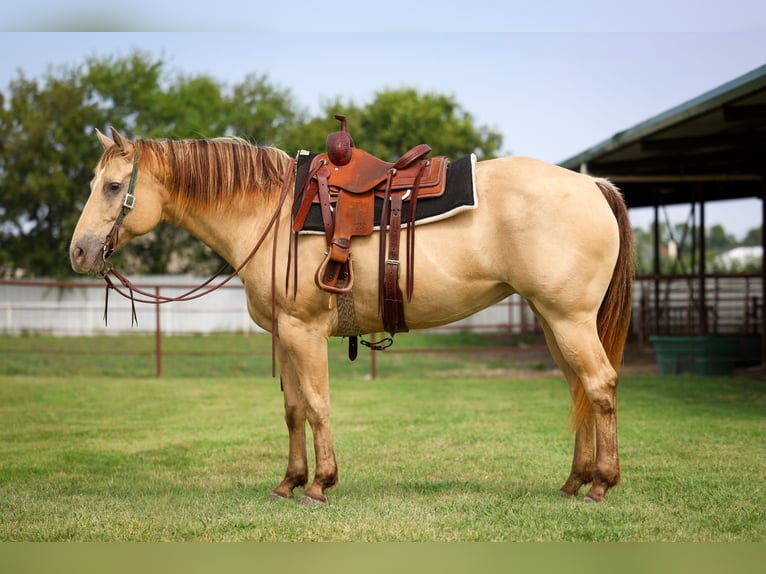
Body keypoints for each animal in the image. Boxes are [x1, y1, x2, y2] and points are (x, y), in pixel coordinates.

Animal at [69, 127, 634, 505]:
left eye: (113, 186)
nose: (78, 252)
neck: (270, 213)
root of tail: (593, 185)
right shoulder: (285, 335)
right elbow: (293, 410)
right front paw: (289, 482)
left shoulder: (303, 331)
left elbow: (318, 405)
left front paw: (320, 484)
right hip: (552, 320)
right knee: (580, 391)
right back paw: (574, 481)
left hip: (569, 319)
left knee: (600, 386)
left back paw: (601, 484)